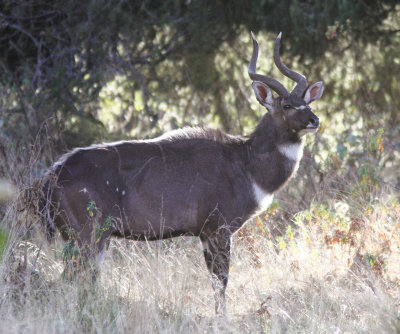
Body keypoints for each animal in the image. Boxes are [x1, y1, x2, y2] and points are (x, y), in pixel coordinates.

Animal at [39, 32, 322, 314]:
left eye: (307, 102)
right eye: (287, 105)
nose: (314, 120)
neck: (245, 163)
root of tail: (52, 175)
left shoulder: (205, 234)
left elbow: (215, 281)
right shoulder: (218, 227)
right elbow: (221, 281)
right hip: (87, 234)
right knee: (71, 278)